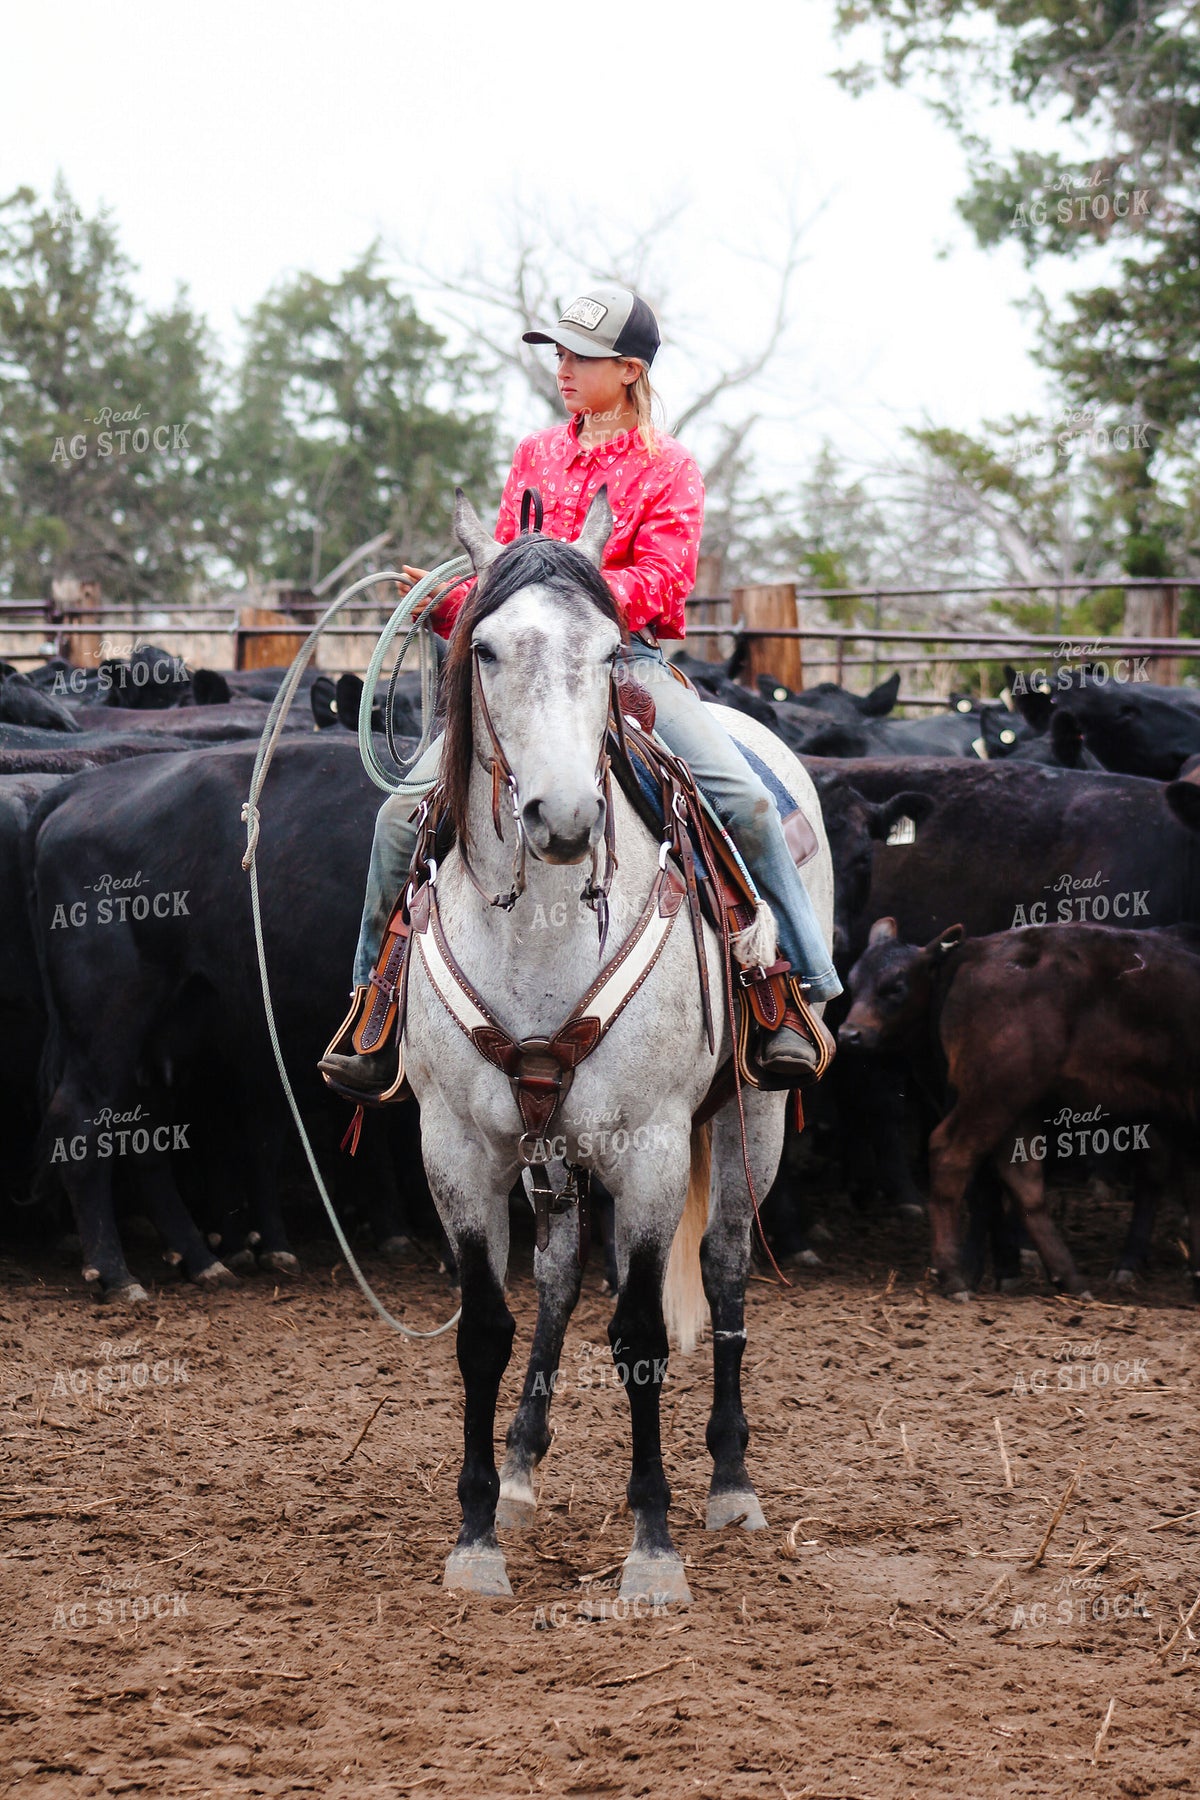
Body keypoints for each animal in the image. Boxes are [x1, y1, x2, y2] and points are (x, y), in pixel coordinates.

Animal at [839, 918, 1200, 1301]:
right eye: (853, 984)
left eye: (895, 987)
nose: (848, 1034)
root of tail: (977, 951)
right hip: (996, 1091)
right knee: (954, 1154)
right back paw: (954, 1275)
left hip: (1014, 1098)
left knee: (1022, 1176)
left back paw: (1067, 1277)